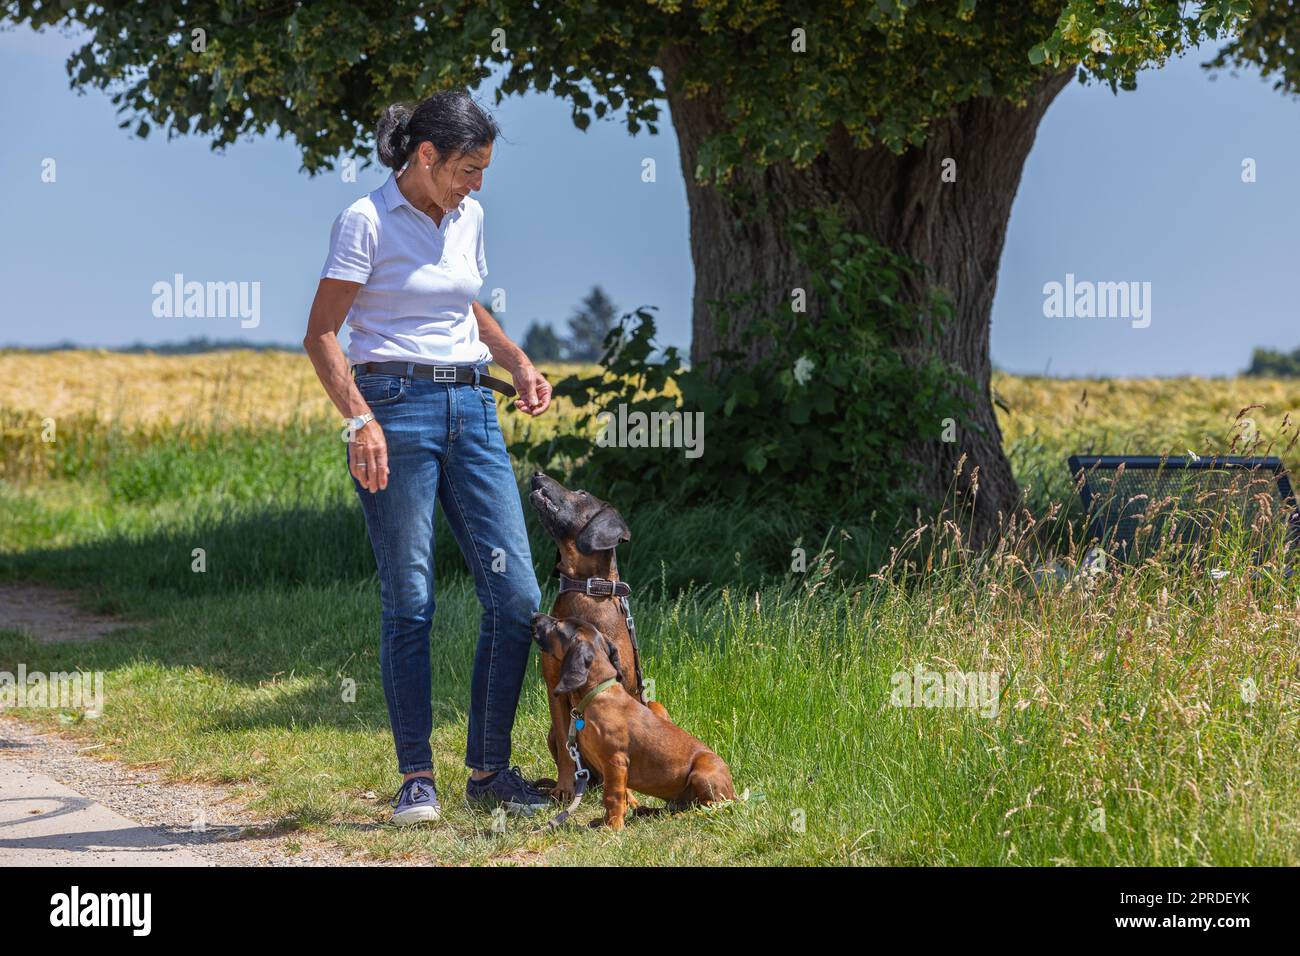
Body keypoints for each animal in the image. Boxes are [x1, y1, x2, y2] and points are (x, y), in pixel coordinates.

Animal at [527, 470, 670, 801]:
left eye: (581, 494)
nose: (537, 474)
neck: (586, 588)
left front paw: (628, 796)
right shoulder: (555, 689)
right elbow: (566, 749)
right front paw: (564, 788)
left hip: (656, 707)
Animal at [527, 613, 733, 832]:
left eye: (557, 624)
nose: (534, 617)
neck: (597, 694)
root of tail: (734, 792)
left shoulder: (615, 762)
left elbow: (612, 796)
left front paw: (612, 826)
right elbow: (616, 795)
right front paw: (605, 821)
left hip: (703, 773)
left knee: (708, 807)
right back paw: (648, 812)